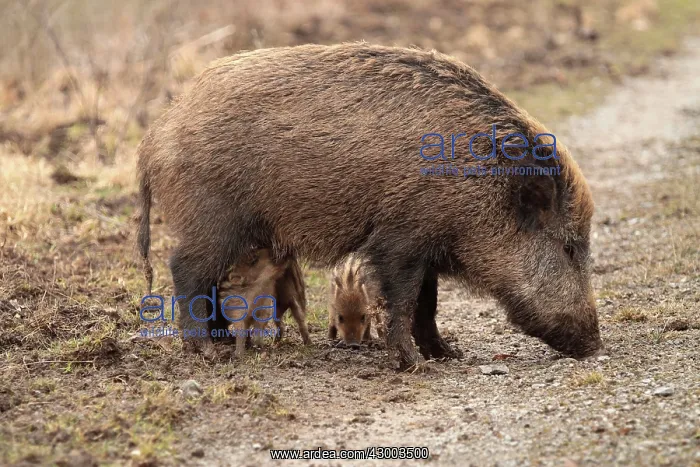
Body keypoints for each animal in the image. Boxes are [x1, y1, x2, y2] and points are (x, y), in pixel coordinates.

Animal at [136, 43, 604, 370]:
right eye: (569, 247)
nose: (595, 345)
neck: (481, 185)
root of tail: (155, 135)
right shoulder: (400, 240)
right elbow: (403, 302)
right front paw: (414, 365)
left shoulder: (425, 246)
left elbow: (427, 304)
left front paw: (447, 355)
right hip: (212, 221)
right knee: (185, 269)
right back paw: (207, 352)